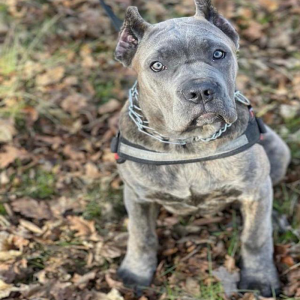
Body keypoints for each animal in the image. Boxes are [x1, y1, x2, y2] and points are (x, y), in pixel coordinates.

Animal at [111, 0, 292, 296]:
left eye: (219, 53)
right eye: (157, 65)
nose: (200, 90)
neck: (190, 144)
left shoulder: (253, 189)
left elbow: (255, 236)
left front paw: (260, 278)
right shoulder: (138, 196)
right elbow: (141, 235)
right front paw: (136, 273)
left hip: (277, 153)